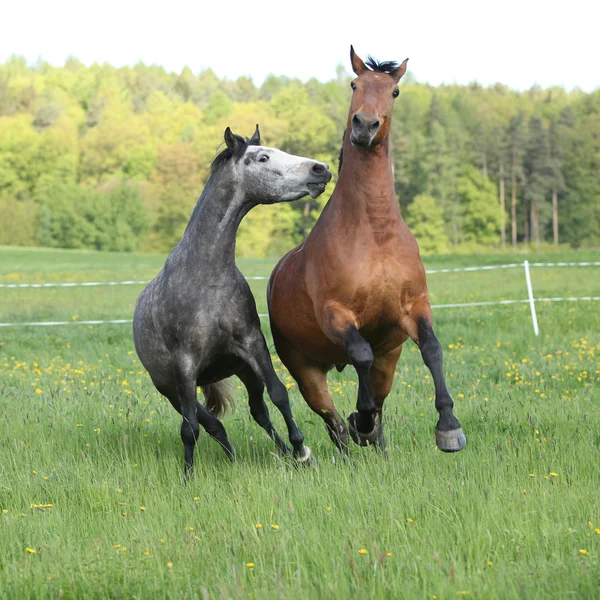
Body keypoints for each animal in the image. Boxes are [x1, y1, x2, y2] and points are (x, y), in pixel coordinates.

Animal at [134, 126, 332, 474]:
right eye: (263, 157)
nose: (321, 169)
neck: (206, 277)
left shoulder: (252, 345)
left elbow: (279, 395)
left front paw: (301, 451)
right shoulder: (184, 367)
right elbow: (190, 429)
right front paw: (187, 476)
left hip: (242, 371)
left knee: (257, 412)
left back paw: (272, 453)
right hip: (171, 389)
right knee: (209, 424)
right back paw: (228, 459)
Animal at [268, 47, 468, 454]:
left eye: (394, 91)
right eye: (353, 84)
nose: (365, 126)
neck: (374, 234)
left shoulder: (414, 306)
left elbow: (433, 349)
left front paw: (449, 427)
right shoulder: (336, 313)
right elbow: (360, 353)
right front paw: (360, 418)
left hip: (389, 360)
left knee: (377, 397)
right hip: (306, 371)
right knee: (332, 420)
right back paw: (354, 434)